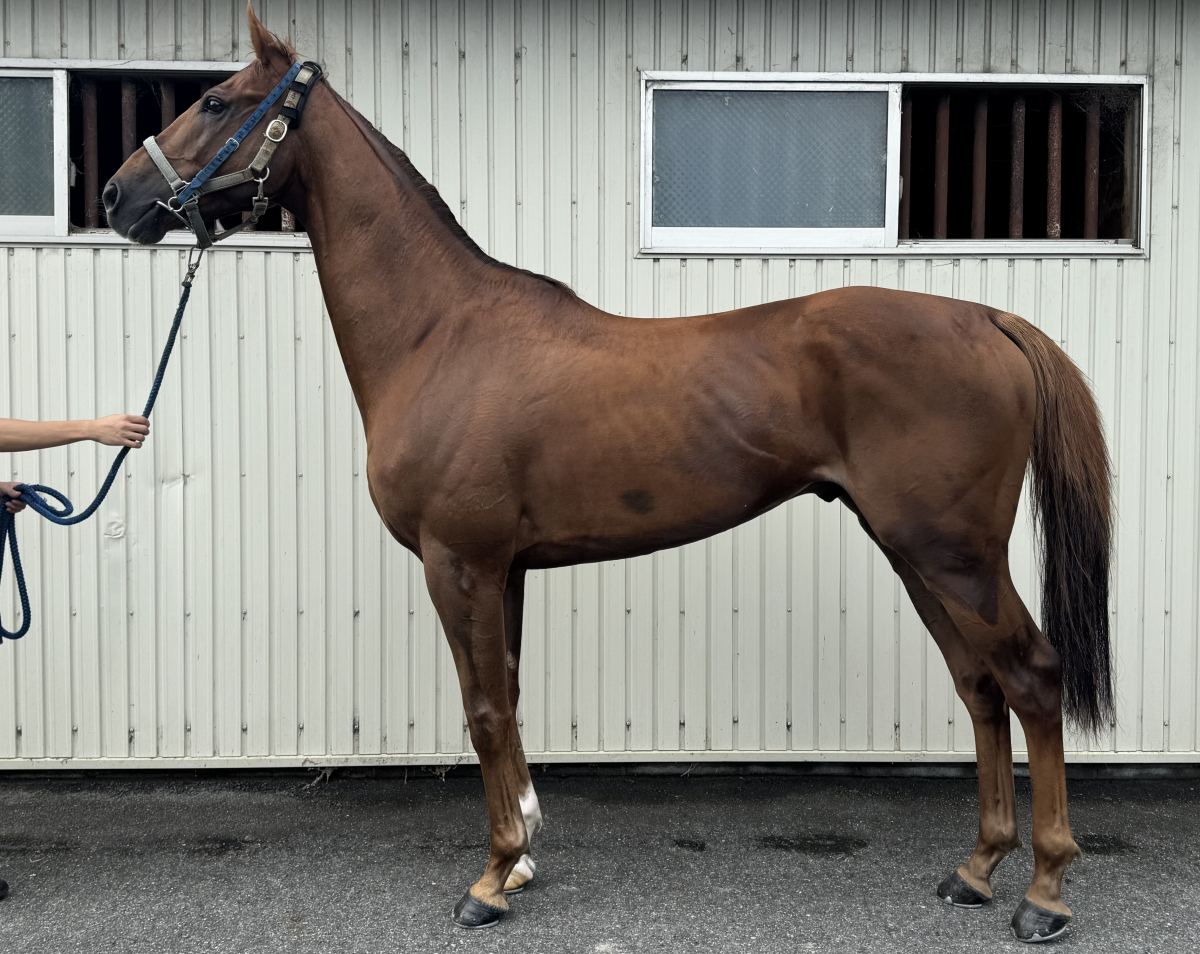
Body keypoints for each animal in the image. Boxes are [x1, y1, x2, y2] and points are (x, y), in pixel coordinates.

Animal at [101, 6, 1112, 942]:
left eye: (215, 101)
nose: (116, 197)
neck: (440, 333)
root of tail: (988, 319)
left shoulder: (459, 562)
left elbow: (482, 709)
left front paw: (490, 879)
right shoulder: (504, 568)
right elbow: (509, 696)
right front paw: (520, 858)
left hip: (953, 554)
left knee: (1031, 679)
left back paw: (1044, 893)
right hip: (913, 551)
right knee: (979, 687)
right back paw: (976, 869)